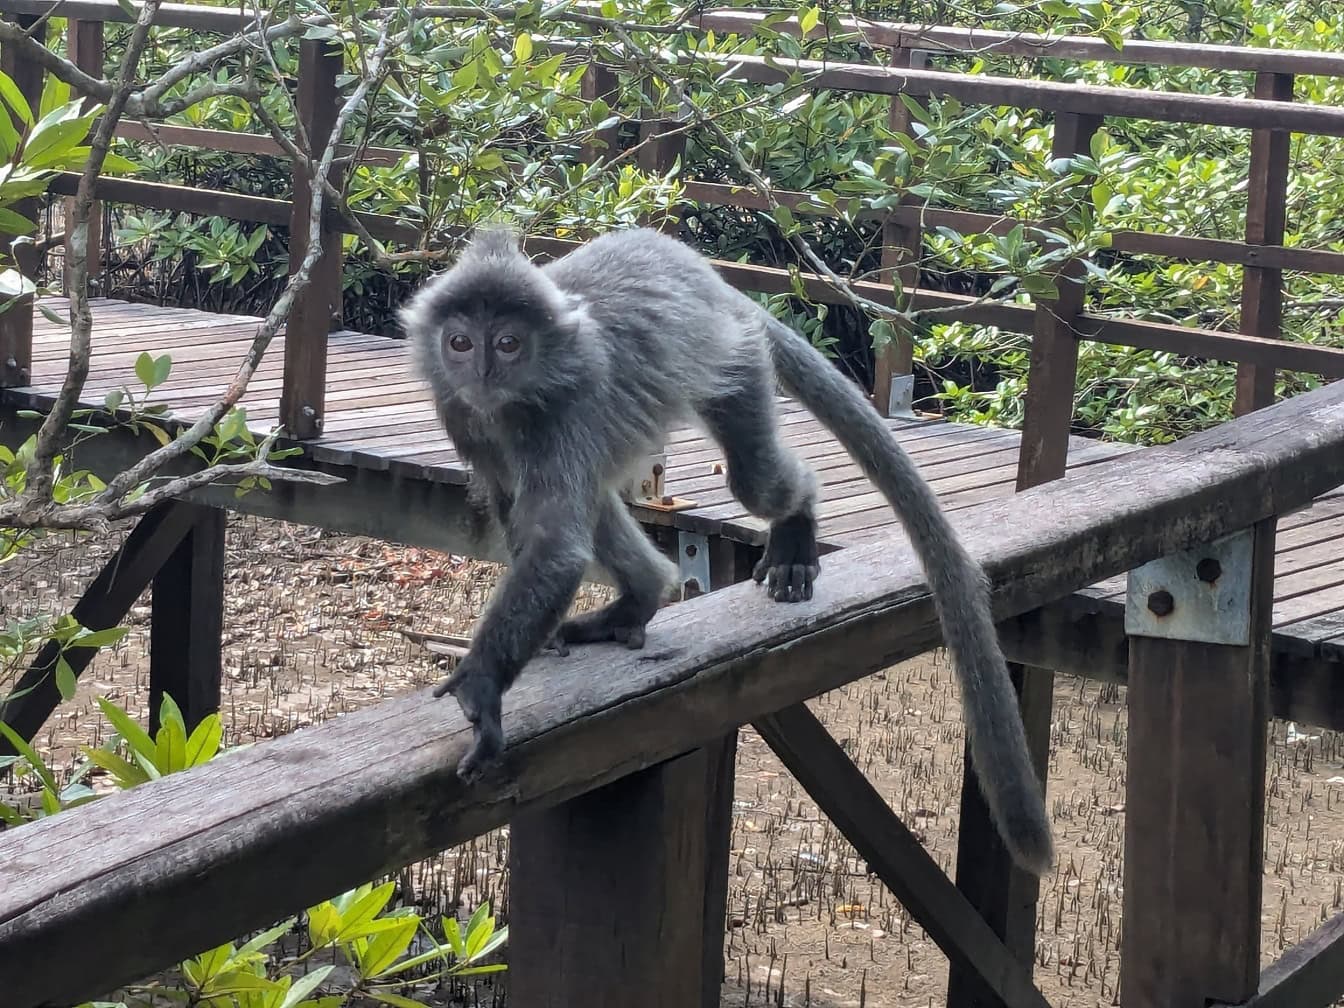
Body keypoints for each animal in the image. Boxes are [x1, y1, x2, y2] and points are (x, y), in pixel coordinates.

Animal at [400, 220, 1059, 876]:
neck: (517, 399)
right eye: (460, 343)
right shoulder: (463, 414)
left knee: (757, 480)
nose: (483, 373)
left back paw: (793, 533)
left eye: (508, 343)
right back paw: (639, 598)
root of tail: (709, 279)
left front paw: (483, 687)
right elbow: (520, 507)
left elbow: (556, 545)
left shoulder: (566, 410)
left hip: (736, 358)